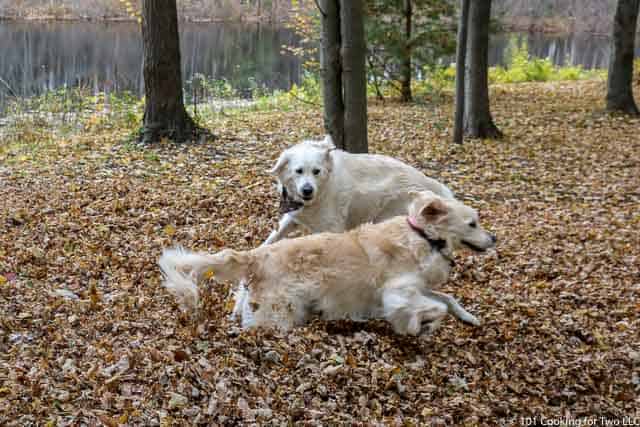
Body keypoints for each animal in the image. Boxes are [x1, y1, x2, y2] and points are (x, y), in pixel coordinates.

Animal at [159, 192, 496, 336]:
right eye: (472, 223)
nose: (493, 238)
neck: (423, 236)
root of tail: (257, 256)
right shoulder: (397, 291)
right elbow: (434, 307)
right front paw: (417, 326)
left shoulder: (418, 287)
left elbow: (447, 299)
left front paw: (468, 317)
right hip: (277, 316)